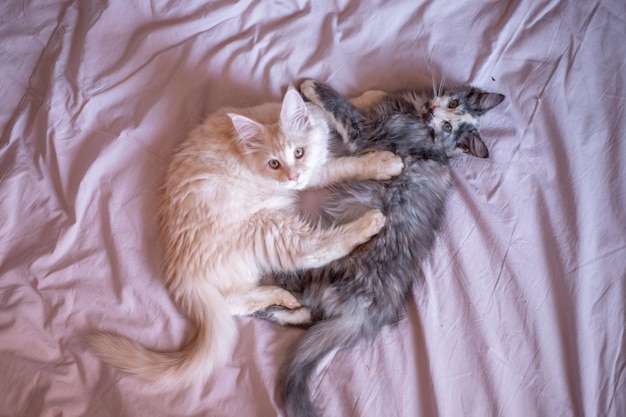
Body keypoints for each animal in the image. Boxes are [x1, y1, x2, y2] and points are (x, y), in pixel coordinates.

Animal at [86, 89, 400, 386]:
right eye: (274, 164)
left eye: (298, 152)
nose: (292, 178)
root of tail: (180, 273)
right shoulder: (312, 177)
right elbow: (344, 165)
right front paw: (384, 163)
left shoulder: (312, 156)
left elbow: (331, 110)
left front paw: (363, 96)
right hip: (269, 226)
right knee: (313, 251)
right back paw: (368, 223)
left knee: (233, 303)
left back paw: (282, 298)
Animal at [256, 79, 504, 416]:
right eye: (452, 106)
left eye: (448, 125)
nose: (433, 110)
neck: (420, 122)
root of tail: (372, 311)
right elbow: (374, 96)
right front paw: (370, 92)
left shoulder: (366, 130)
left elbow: (340, 108)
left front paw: (311, 87)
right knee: (308, 315)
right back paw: (269, 311)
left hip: (330, 266)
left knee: (303, 297)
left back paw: (269, 290)